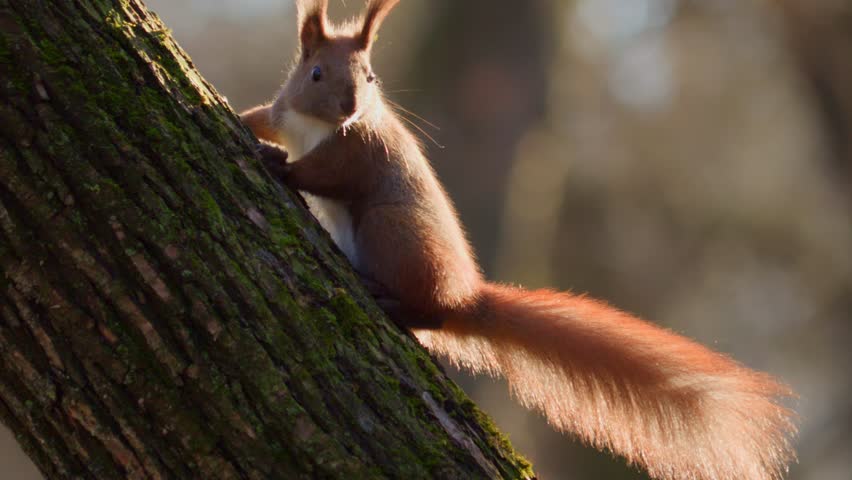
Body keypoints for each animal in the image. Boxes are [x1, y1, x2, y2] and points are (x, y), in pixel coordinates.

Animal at [240, 1, 797, 479]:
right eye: (316, 73)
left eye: (371, 77)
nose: (351, 105)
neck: (315, 125)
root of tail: (467, 297)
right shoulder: (286, 115)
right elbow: (262, 118)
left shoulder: (355, 151)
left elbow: (326, 176)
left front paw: (281, 166)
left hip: (389, 230)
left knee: (429, 312)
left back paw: (393, 301)